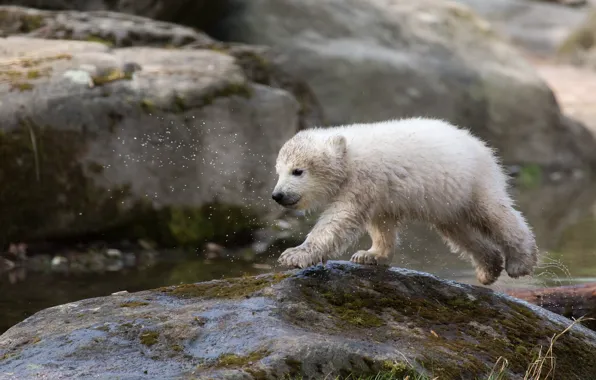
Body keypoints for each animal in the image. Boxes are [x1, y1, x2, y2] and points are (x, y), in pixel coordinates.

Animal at [272, 118, 536, 284]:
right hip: (448, 200)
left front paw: (294, 255)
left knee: (495, 214)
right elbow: (381, 223)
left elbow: (340, 218)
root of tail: (480, 144)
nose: (278, 195)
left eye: (297, 171)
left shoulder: (363, 179)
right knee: (459, 232)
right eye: (278, 171)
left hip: (472, 181)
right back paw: (488, 269)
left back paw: (520, 262)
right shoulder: (379, 191)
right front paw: (370, 255)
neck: (349, 154)